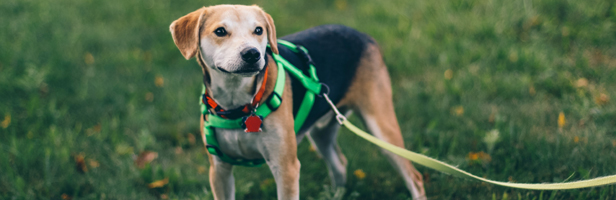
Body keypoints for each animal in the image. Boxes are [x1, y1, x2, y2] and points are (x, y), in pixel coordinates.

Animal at [171, 4, 426, 200]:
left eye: (258, 30)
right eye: (220, 31)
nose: (253, 54)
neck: (239, 105)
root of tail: (361, 34)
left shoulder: (286, 168)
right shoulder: (219, 170)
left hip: (382, 128)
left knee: (415, 177)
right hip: (321, 134)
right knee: (340, 163)